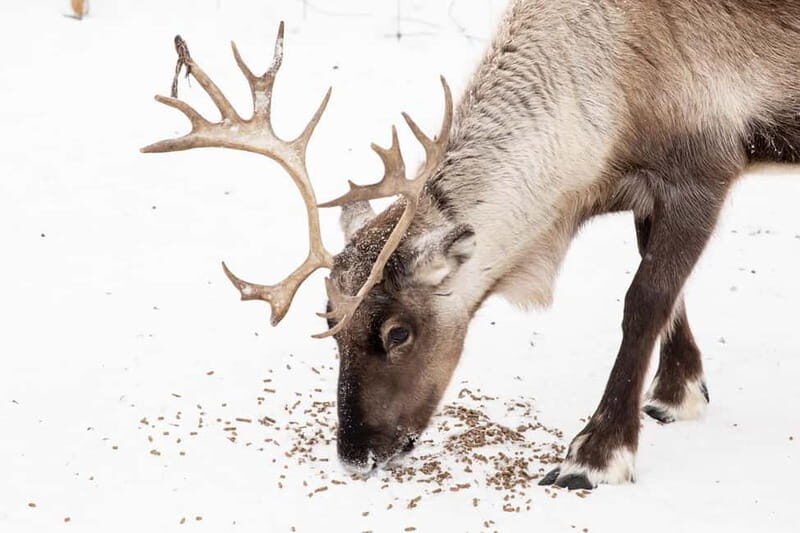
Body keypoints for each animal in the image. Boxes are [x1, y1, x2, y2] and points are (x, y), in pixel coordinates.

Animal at [142, 0, 800, 490]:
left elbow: (645, 299)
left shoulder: (704, 170)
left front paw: (595, 455)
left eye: (398, 332)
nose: (356, 455)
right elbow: (668, 291)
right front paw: (679, 393)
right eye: (328, 319)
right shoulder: (647, 186)